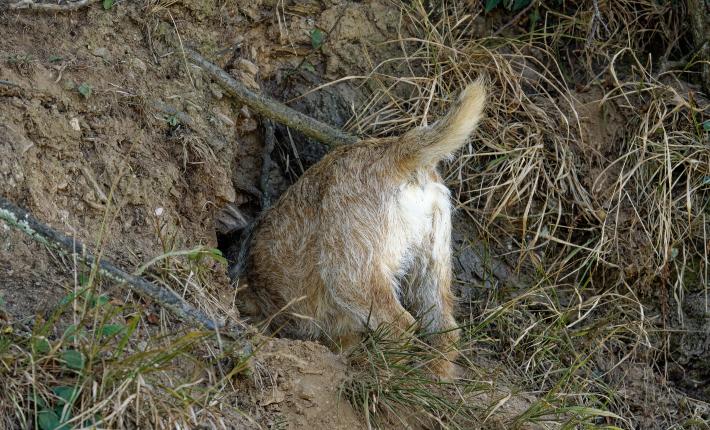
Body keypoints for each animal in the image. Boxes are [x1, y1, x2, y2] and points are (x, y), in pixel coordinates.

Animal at [242, 80, 486, 376]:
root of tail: (394, 149)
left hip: (350, 275)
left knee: (401, 327)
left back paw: (381, 373)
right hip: (431, 269)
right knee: (445, 331)